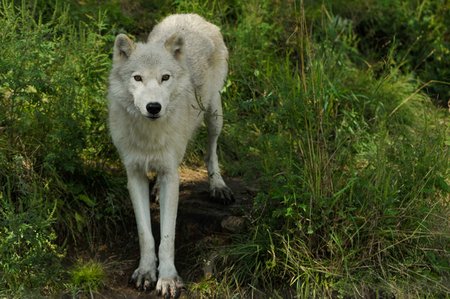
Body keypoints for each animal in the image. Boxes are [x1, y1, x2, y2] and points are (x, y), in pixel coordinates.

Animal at [107, 13, 234, 299]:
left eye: (165, 77)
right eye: (138, 78)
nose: (154, 107)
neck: (149, 134)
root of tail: (190, 15)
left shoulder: (171, 175)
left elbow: (167, 236)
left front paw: (167, 279)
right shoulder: (134, 175)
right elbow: (145, 233)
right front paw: (145, 272)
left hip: (215, 115)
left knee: (211, 151)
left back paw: (218, 186)